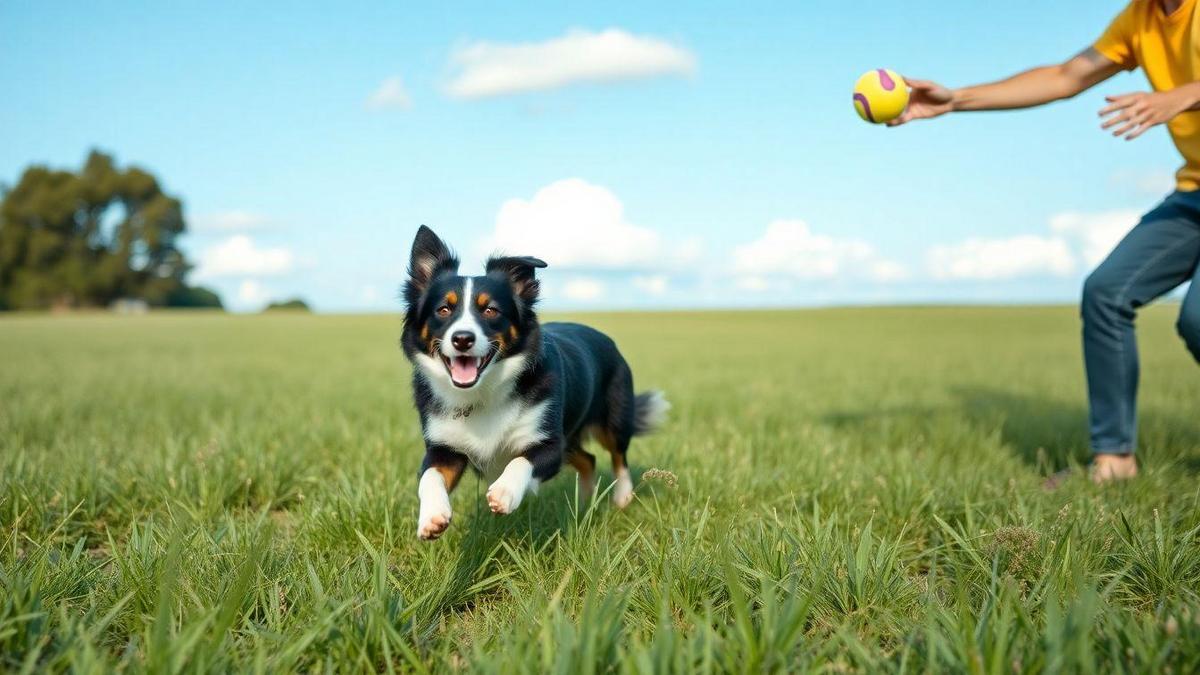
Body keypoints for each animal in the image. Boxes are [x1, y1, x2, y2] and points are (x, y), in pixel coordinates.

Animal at [400, 223, 667, 538]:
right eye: (443, 309)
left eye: (490, 310)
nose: (462, 339)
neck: (483, 392)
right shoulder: (444, 448)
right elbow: (429, 476)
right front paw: (432, 516)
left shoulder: (549, 443)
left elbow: (520, 460)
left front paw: (504, 492)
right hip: (570, 437)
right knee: (588, 459)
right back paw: (584, 503)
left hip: (612, 418)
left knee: (618, 455)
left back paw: (622, 497)